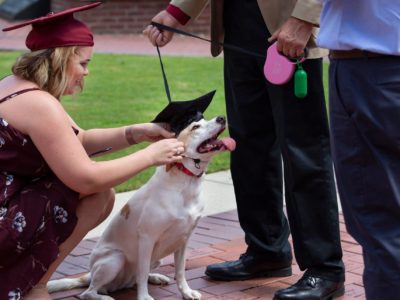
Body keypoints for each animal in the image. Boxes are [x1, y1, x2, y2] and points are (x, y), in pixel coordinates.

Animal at [47, 116, 234, 300]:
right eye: (195, 127)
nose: (221, 118)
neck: (186, 183)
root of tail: (90, 274)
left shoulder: (184, 239)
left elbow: (180, 271)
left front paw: (186, 292)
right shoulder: (147, 238)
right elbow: (142, 272)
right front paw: (144, 297)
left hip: (155, 259)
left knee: (134, 279)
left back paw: (156, 277)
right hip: (115, 259)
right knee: (89, 292)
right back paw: (104, 296)